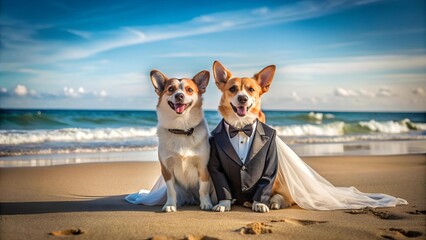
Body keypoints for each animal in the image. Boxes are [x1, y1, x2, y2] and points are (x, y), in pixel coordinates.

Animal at [151, 69, 215, 212]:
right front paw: (170, 205)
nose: (179, 96)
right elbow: (171, 190)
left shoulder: (203, 167)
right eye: (171, 89)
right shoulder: (167, 169)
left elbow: (203, 189)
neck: (181, 129)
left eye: (189, 90)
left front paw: (206, 203)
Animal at [207, 61, 294, 213]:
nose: (243, 98)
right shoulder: (215, 162)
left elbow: (265, 183)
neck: (241, 127)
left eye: (251, 89)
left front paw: (260, 203)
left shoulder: (270, 159)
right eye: (232, 88)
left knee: (282, 197)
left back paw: (272, 202)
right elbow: (223, 185)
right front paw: (224, 203)